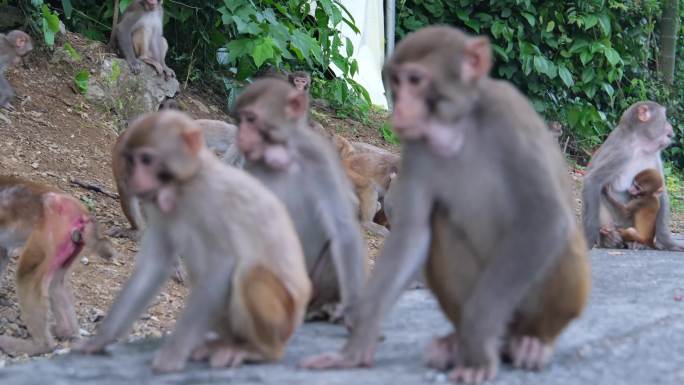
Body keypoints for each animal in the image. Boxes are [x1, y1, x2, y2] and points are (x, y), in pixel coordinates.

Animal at [0, 176, 119, 354]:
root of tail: (83, 215)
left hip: (50, 232)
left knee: (26, 275)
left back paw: (38, 345)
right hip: (71, 244)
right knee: (56, 283)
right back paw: (65, 331)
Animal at [232, 78, 366, 320]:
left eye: (251, 119)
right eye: (239, 121)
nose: (240, 137)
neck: (284, 158)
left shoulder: (319, 157)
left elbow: (343, 226)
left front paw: (351, 309)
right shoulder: (252, 167)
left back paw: (324, 306)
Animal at [300, 25, 592, 382]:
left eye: (415, 80)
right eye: (396, 81)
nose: (401, 108)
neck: (457, 128)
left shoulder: (510, 117)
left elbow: (545, 218)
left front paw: (477, 346)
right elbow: (412, 234)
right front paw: (356, 348)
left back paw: (530, 343)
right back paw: (457, 341)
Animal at [580, 100, 680, 249]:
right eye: (665, 117)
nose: (670, 125)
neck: (640, 145)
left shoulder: (655, 155)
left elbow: (660, 190)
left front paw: (667, 241)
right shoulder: (622, 152)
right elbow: (593, 181)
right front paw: (589, 238)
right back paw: (609, 238)